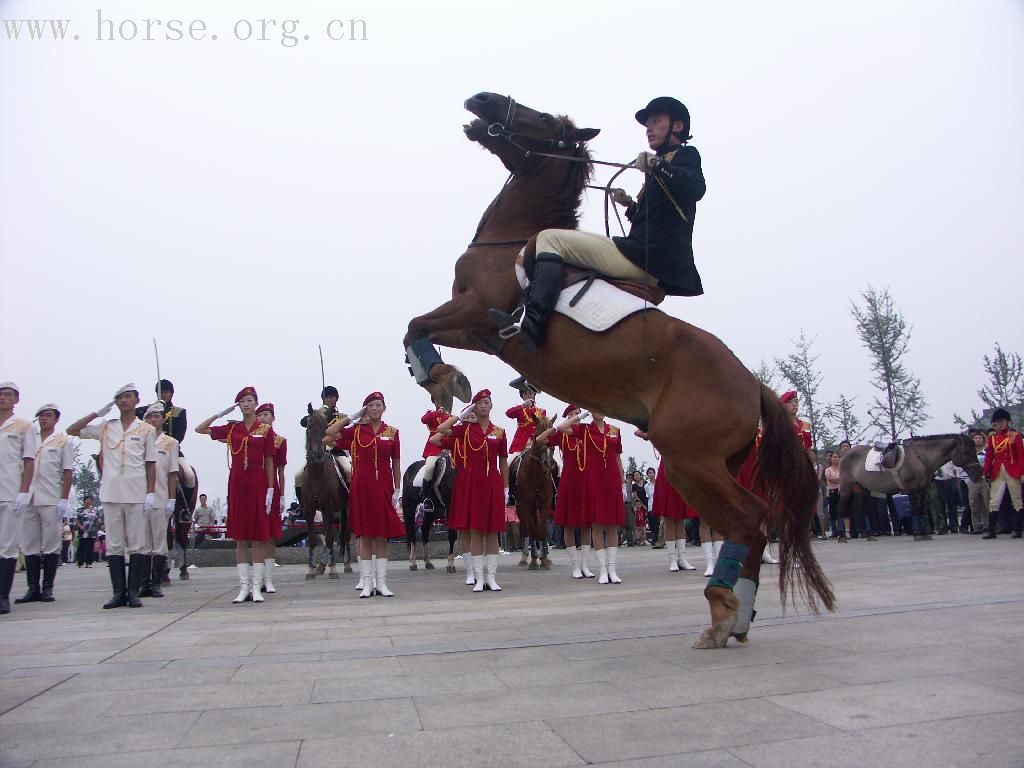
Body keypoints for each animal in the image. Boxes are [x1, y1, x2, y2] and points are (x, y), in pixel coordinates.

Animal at [299, 409, 352, 577]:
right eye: (309, 425)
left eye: (326, 428)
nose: (318, 454)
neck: (317, 474)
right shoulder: (310, 510)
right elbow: (313, 538)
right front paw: (311, 569)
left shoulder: (328, 508)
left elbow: (329, 537)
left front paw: (333, 568)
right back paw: (321, 566)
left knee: (346, 534)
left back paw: (347, 564)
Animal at [509, 415, 557, 573]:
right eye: (537, 435)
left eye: (554, 434)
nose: (548, 462)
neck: (535, 475)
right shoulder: (526, 505)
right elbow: (532, 530)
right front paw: (534, 560)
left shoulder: (545, 503)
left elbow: (542, 530)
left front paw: (544, 559)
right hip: (521, 508)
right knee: (526, 530)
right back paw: (525, 558)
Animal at [839, 434, 983, 540]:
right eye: (967, 452)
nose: (978, 473)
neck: (918, 458)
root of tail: (846, 454)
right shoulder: (913, 489)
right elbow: (914, 510)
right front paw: (918, 533)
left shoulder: (921, 489)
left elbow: (920, 509)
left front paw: (924, 533)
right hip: (846, 488)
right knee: (840, 509)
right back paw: (842, 536)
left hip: (863, 488)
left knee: (862, 510)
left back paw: (869, 535)